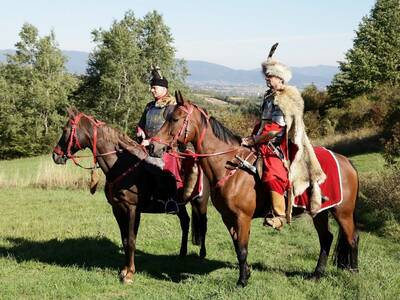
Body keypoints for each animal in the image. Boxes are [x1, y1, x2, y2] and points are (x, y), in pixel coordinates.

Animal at [52, 108, 209, 284]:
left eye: (65, 130)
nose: (55, 155)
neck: (121, 166)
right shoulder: (118, 209)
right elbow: (125, 240)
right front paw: (124, 270)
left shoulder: (132, 209)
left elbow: (132, 240)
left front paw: (129, 274)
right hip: (179, 206)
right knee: (185, 222)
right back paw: (182, 253)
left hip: (200, 202)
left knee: (203, 224)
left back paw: (202, 254)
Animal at [149, 92, 360, 288]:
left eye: (175, 119)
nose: (153, 146)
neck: (229, 166)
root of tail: (346, 162)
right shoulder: (228, 217)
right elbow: (238, 247)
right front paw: (247, 273)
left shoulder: (243, 217)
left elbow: (242, 249)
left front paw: (242, 281)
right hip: (320, 212)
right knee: (326, 239)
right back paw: (317, 275)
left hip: (343, 212)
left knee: (352, 238)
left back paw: (353, 273)